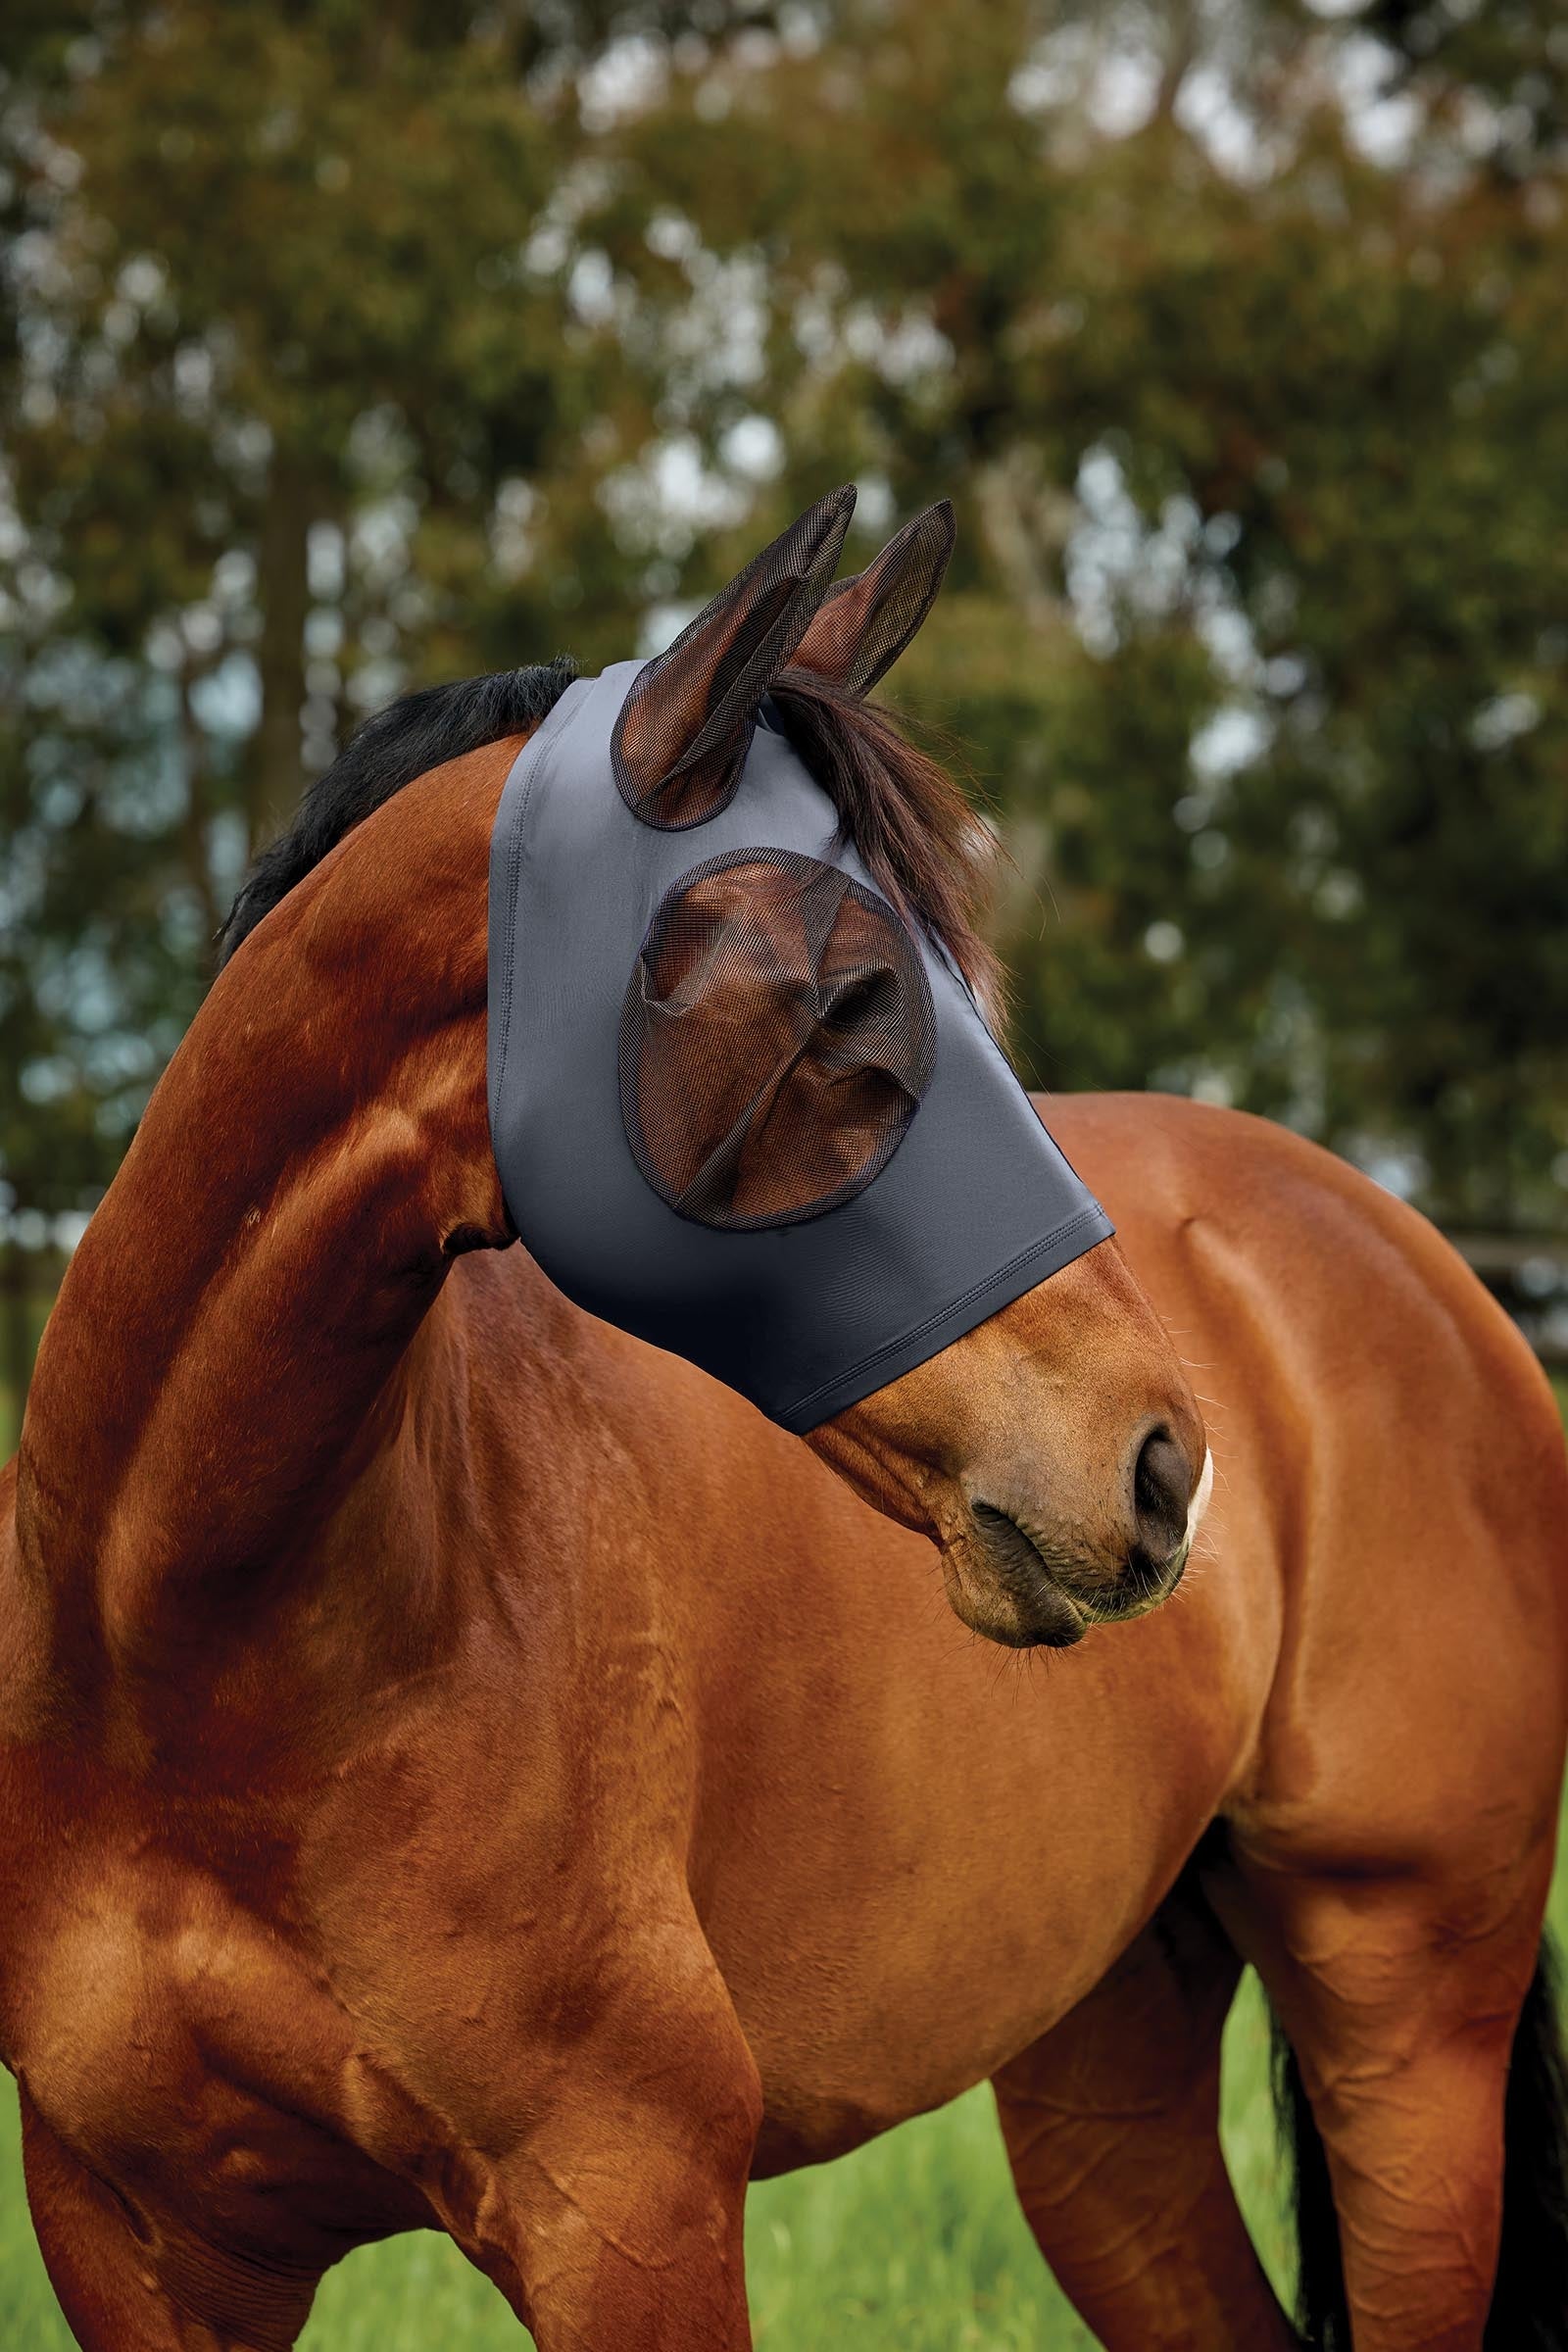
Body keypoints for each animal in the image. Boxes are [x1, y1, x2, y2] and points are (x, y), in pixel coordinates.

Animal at [1, 545, 1565, 2350]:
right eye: (841, 999)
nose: (1166, 1467)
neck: (189, 1670)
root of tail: (1423, 1266)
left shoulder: (630, 2205)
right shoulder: (133, 2241)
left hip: (1408, 2039)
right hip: (1108, 2087)